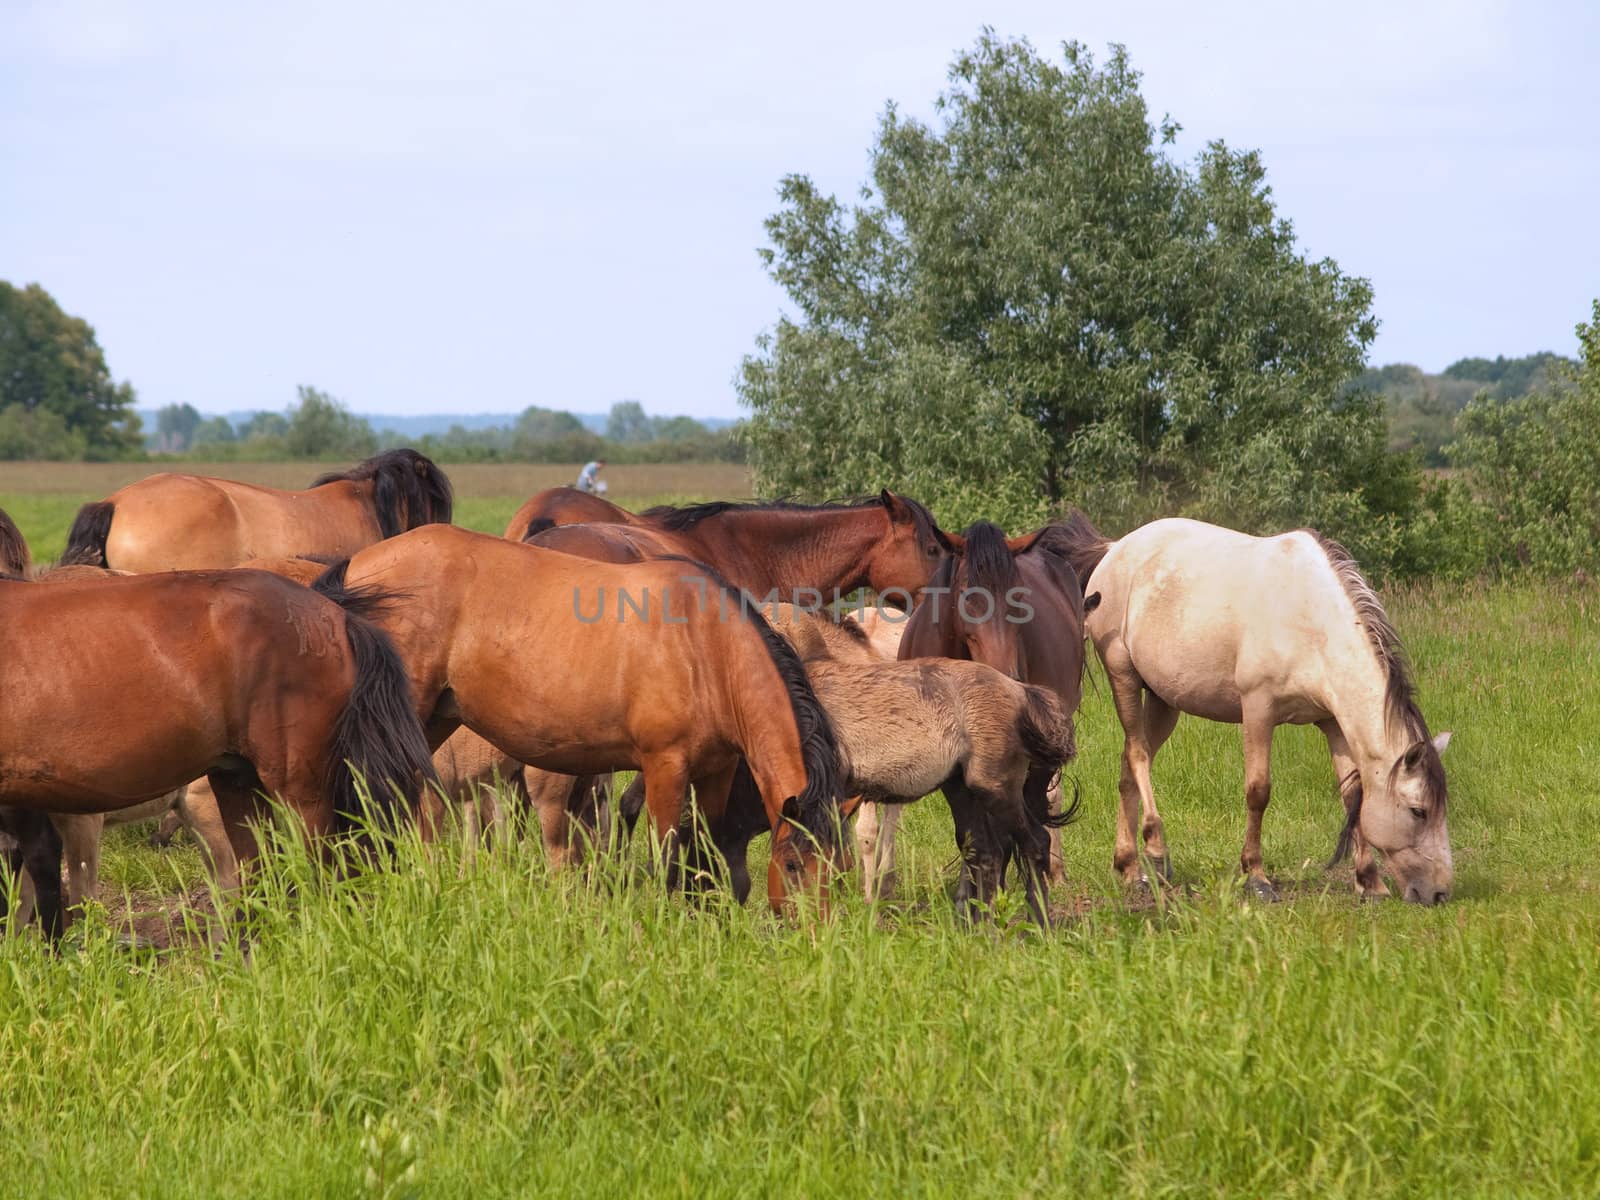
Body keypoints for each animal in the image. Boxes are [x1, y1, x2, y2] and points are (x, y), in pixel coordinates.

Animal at [304, 524, 844, 908]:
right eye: (793, 865)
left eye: (838, 871)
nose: (811, 933)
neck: (707, 645)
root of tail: (355, 568)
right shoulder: (664, 767)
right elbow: (668, 858)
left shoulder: (717, 771)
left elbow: (705, 854)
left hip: (432, 720)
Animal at [1056, 515, 1459, 902]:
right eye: (1418, 810)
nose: (1438, 893)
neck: (1311, 621)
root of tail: (1114, 549)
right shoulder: (1258, 710)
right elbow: (1258, 791)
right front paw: (1256, 877)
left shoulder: (1333, 722)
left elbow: (1353, 795)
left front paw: (1370, 882)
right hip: (1123, 676)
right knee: (1138, 756)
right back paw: (1156, 852)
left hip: (1163, 701)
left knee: (1129, 764)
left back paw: (1129, 868)